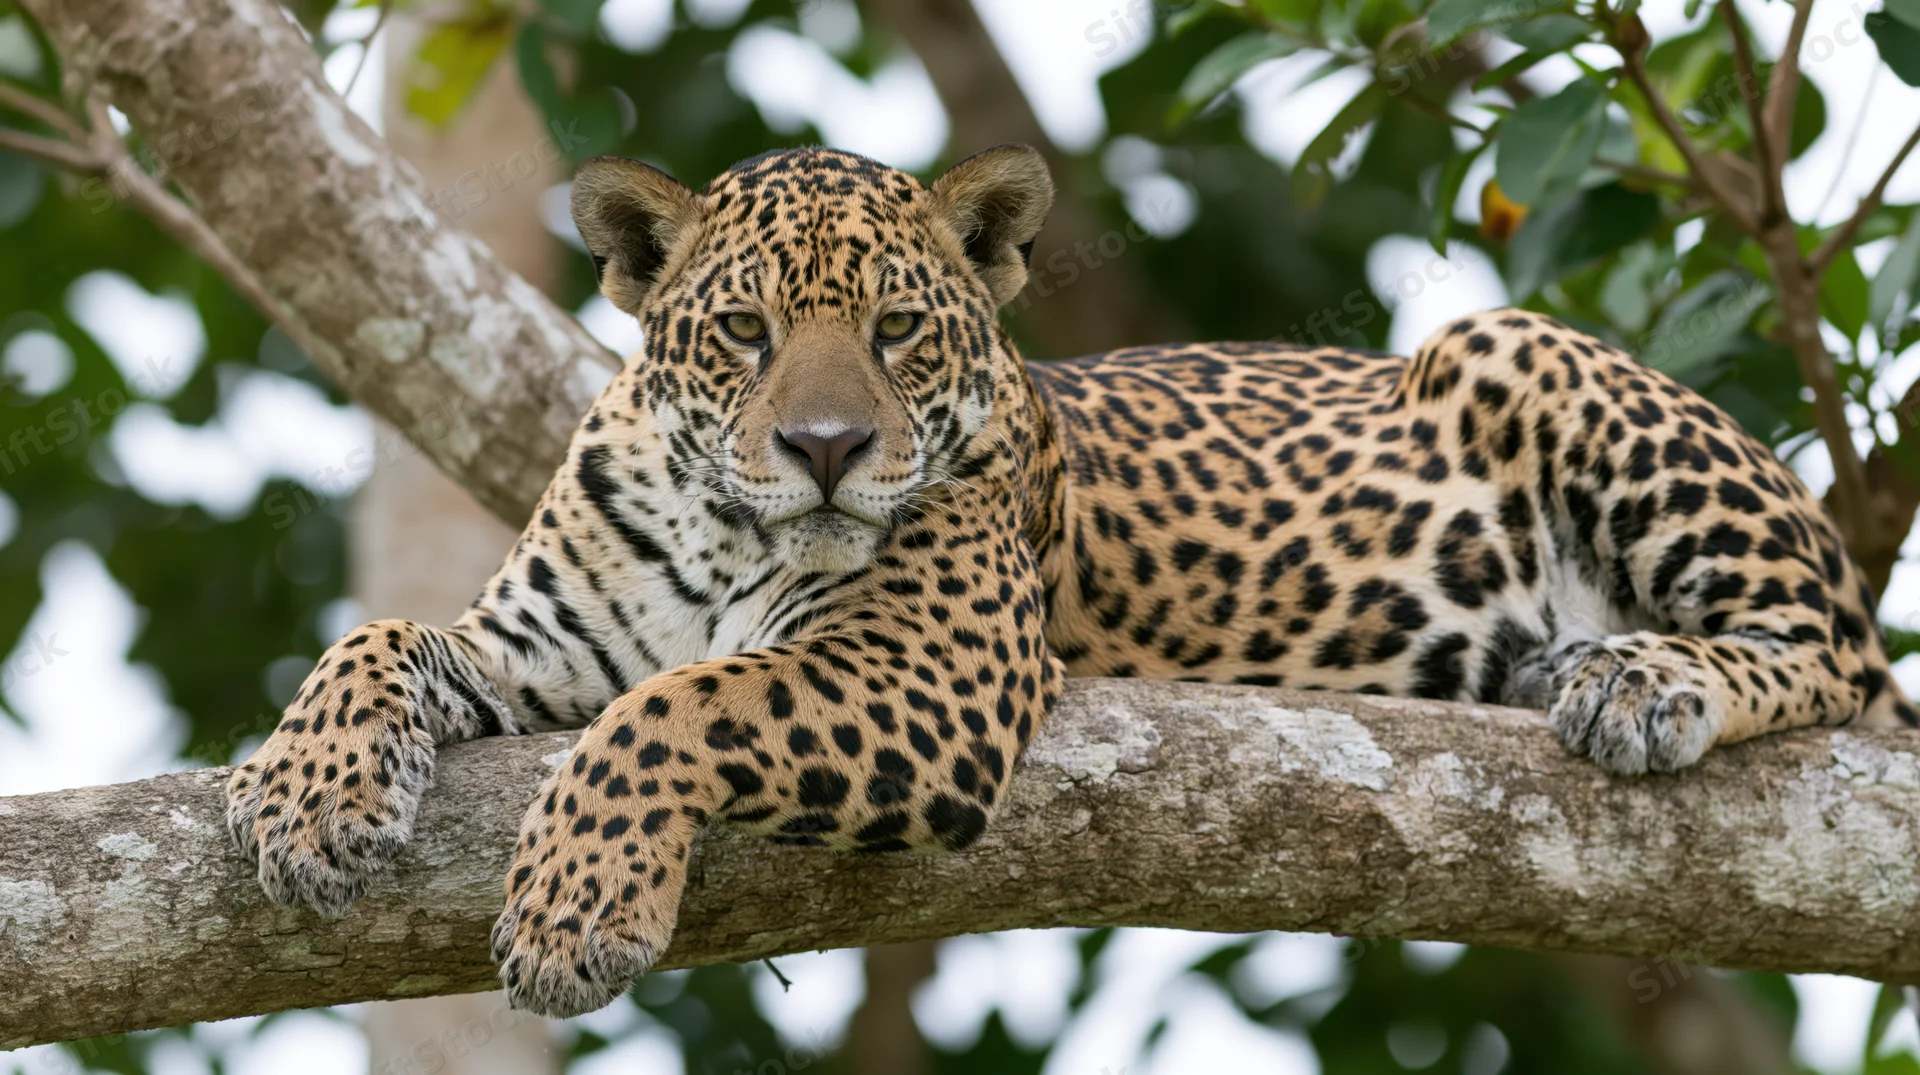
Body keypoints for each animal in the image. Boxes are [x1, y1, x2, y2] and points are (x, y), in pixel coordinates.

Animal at [226, 143, 1916, 1019]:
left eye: (901, 330)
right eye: (747, 332)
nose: (828, 447)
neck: (725, 530)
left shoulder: (929, 676)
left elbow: (676, 703)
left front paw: (576, 904)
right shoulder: (536, 647)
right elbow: (378, 638)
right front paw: (306, 793)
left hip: (1519, 347)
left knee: (1838, 653)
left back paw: (1641, 675)